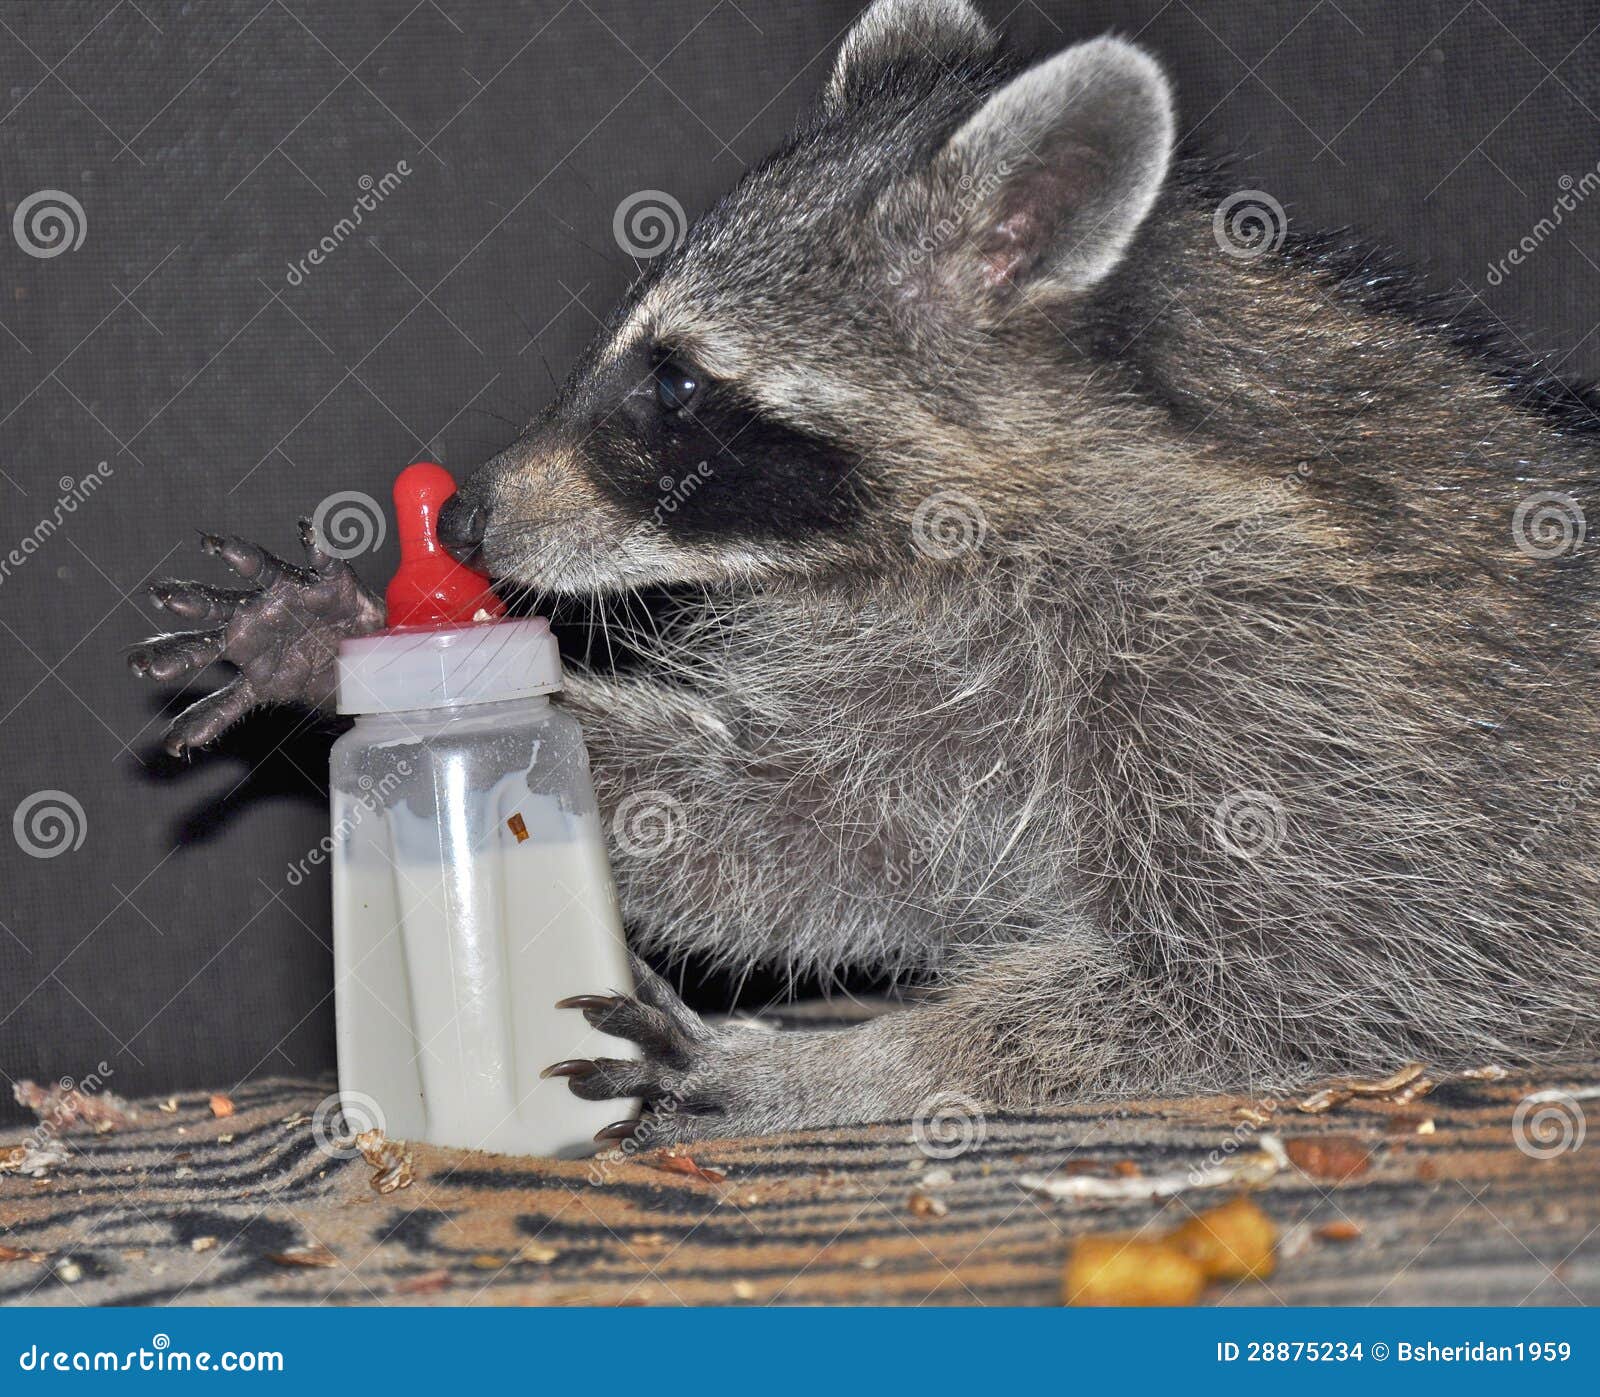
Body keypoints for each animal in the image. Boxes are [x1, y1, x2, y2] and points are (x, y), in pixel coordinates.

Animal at [131, 0, 1600, 1142]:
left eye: (673, 385)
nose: (471, 523)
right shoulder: (954, 665)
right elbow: (804, 824)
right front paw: (336, 646)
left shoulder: (1289, 701)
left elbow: (1293, 994)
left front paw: (840, 1062)